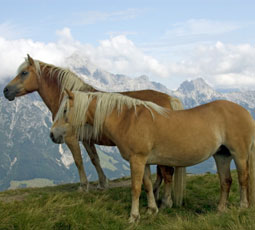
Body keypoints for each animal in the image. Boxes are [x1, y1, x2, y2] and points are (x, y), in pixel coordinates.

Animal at [2, 55, 185, 207]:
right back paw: (156, 193)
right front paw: (103, 184)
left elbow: (78, 161)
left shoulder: (70, 138)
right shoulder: (87, 140)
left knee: (167, 172)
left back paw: (166, 201)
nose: (5, 91)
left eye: (24, 73)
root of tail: (170, 99)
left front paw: (84, 186)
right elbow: (94, 159)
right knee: (162, 173)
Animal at [51, 89, 255, 223]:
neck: (128, 119)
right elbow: (148, 185)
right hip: (222, 155)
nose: (53, 135)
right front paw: (152, 210)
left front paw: (134, 216)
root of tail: (246, 112)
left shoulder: (137, 160)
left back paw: (243, 206)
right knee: (226, 181)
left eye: (65, 110)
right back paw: (220, 209)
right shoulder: (145, 162)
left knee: (242, 178)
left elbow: (135, 188)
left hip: (239, 154)